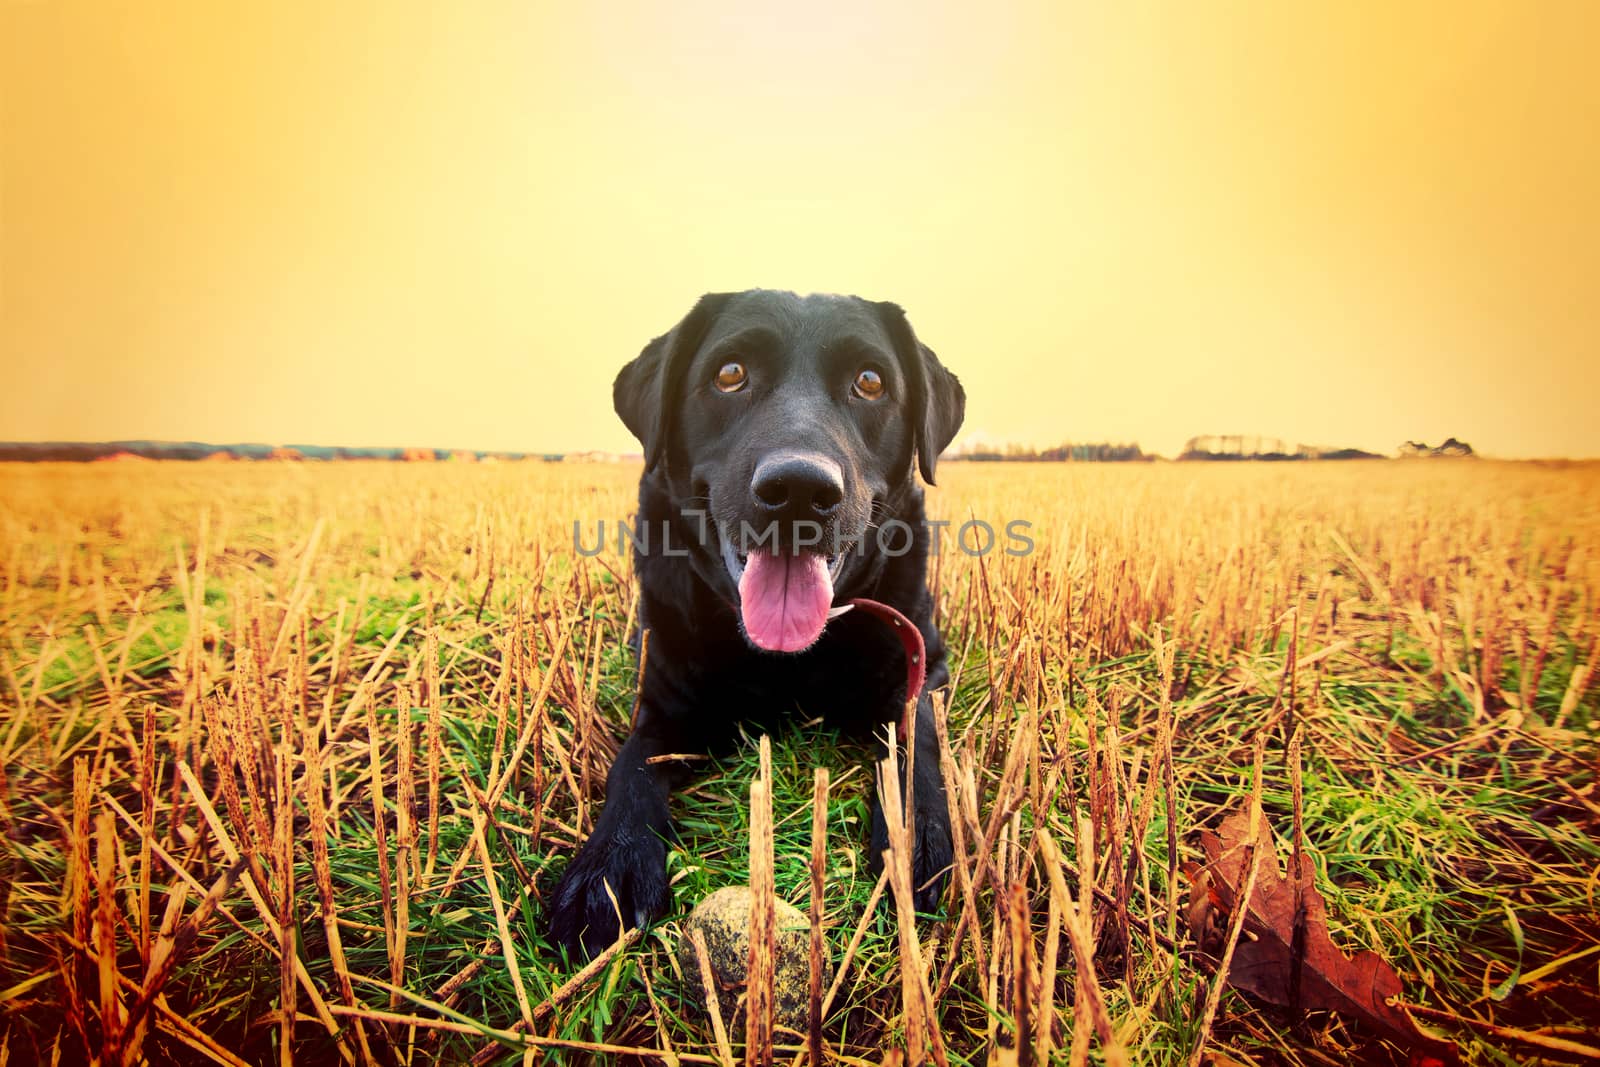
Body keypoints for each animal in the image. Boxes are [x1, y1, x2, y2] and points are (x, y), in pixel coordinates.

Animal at [550, 289, 960, 959]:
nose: (799, 489)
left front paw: (917, 834)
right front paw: (608, 867)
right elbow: (631, 765)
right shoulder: (664, 700)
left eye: (870, 381)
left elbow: (916, 738)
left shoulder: (922, 662)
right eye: (730, 373)